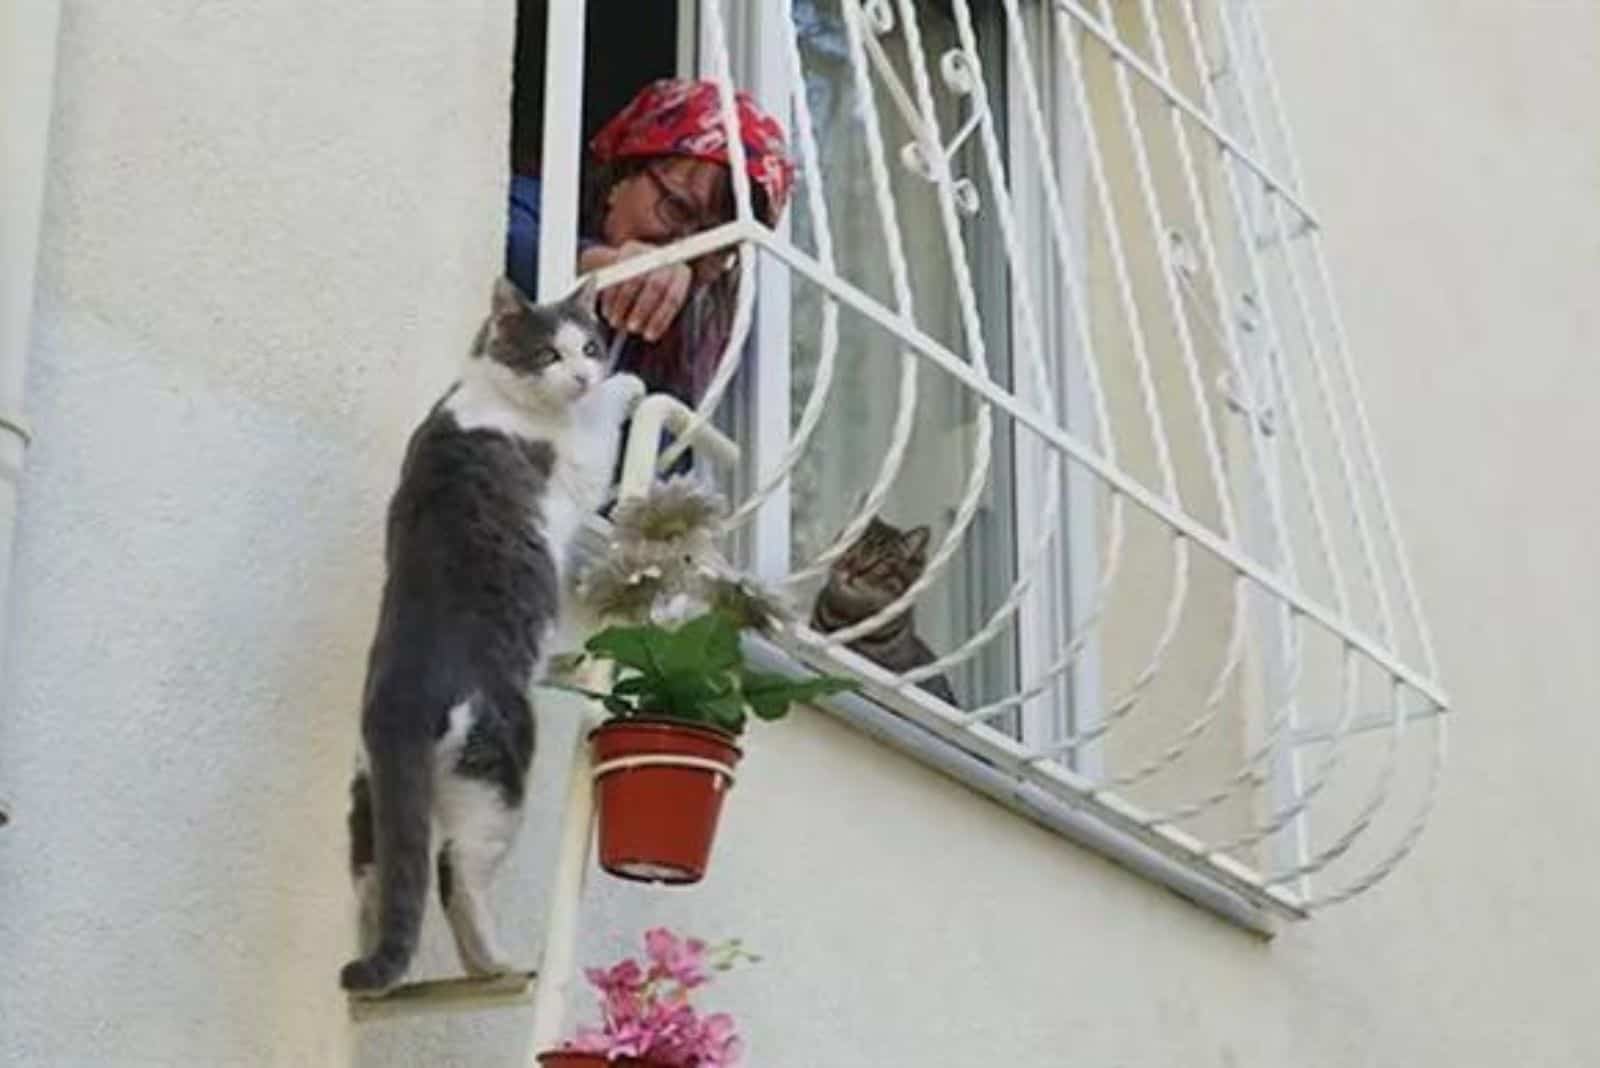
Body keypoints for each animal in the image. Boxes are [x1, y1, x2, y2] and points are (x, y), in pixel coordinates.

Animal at [339, 274, 643, 991]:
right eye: (550, 354)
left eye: (590, 345)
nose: (585, 373)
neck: (493, 388)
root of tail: (401, 703)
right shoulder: (578, 462)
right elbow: (601, 428)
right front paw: (630, 385)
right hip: (497, 776)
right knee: (456, 873)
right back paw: (495, 965)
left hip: (369, 799)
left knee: (378, 880)